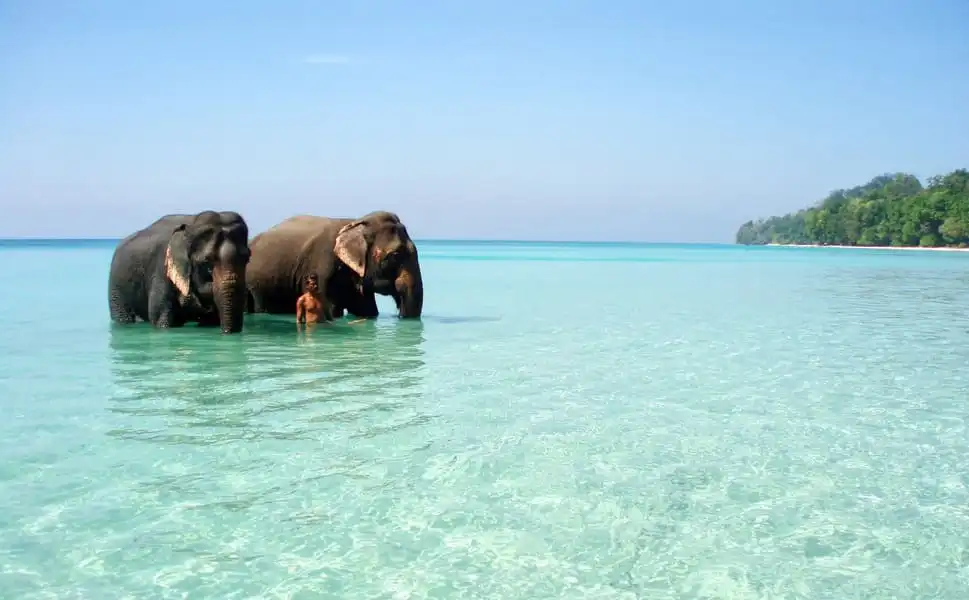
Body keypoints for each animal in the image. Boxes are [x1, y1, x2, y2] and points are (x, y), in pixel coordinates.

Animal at [107, 211, 251, 334]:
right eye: (207, 262)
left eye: (247, 258)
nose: (229, 333)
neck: (191, 224)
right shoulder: (162, 269)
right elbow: (160, 317)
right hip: (116, 290)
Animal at [246, 211, 423, 320]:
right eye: (395, 255)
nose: (399, 315)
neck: (356, 224)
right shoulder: (322, 267)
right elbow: (330, 309)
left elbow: (367, 310)